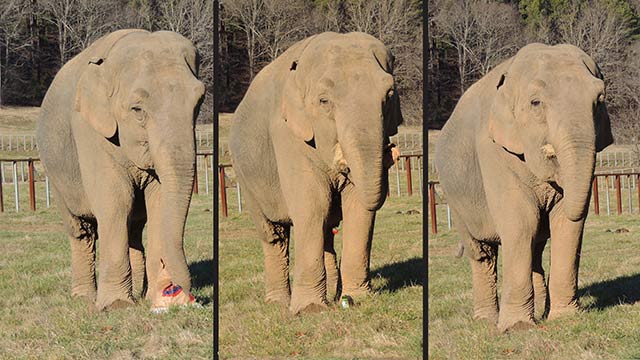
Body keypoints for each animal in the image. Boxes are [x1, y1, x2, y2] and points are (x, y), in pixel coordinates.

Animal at [35, 29, 205, 310]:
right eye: (137, 109)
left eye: (199, 102)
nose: (180, 290)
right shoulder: (89, 130)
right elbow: (115, 200)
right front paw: (115, 305)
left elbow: (159, 200)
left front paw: (153, 297)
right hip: (54, 169)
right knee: (81, 231)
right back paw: (84, 297)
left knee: (133, 227)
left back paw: (137, 291)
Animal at [228, 33, 402, 316]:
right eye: (324, 101)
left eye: (388, 95)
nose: (391, 151)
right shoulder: (287, 134)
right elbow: (312, 205)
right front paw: (309, 309)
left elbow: (358, 206)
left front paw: (357, 298)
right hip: (245, 175)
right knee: (274, 236)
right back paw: (278, 302)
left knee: (326, 232)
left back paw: (332, 294)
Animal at [436, 43, 616, 334]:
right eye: (535, 103)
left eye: (599, 99)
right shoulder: (493, 150)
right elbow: (521, 222)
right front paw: (517, 327)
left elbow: (567, 224)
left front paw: (564, 319)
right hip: (455, 196)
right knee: (483, 253)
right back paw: (487, 320)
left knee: (535, 249)